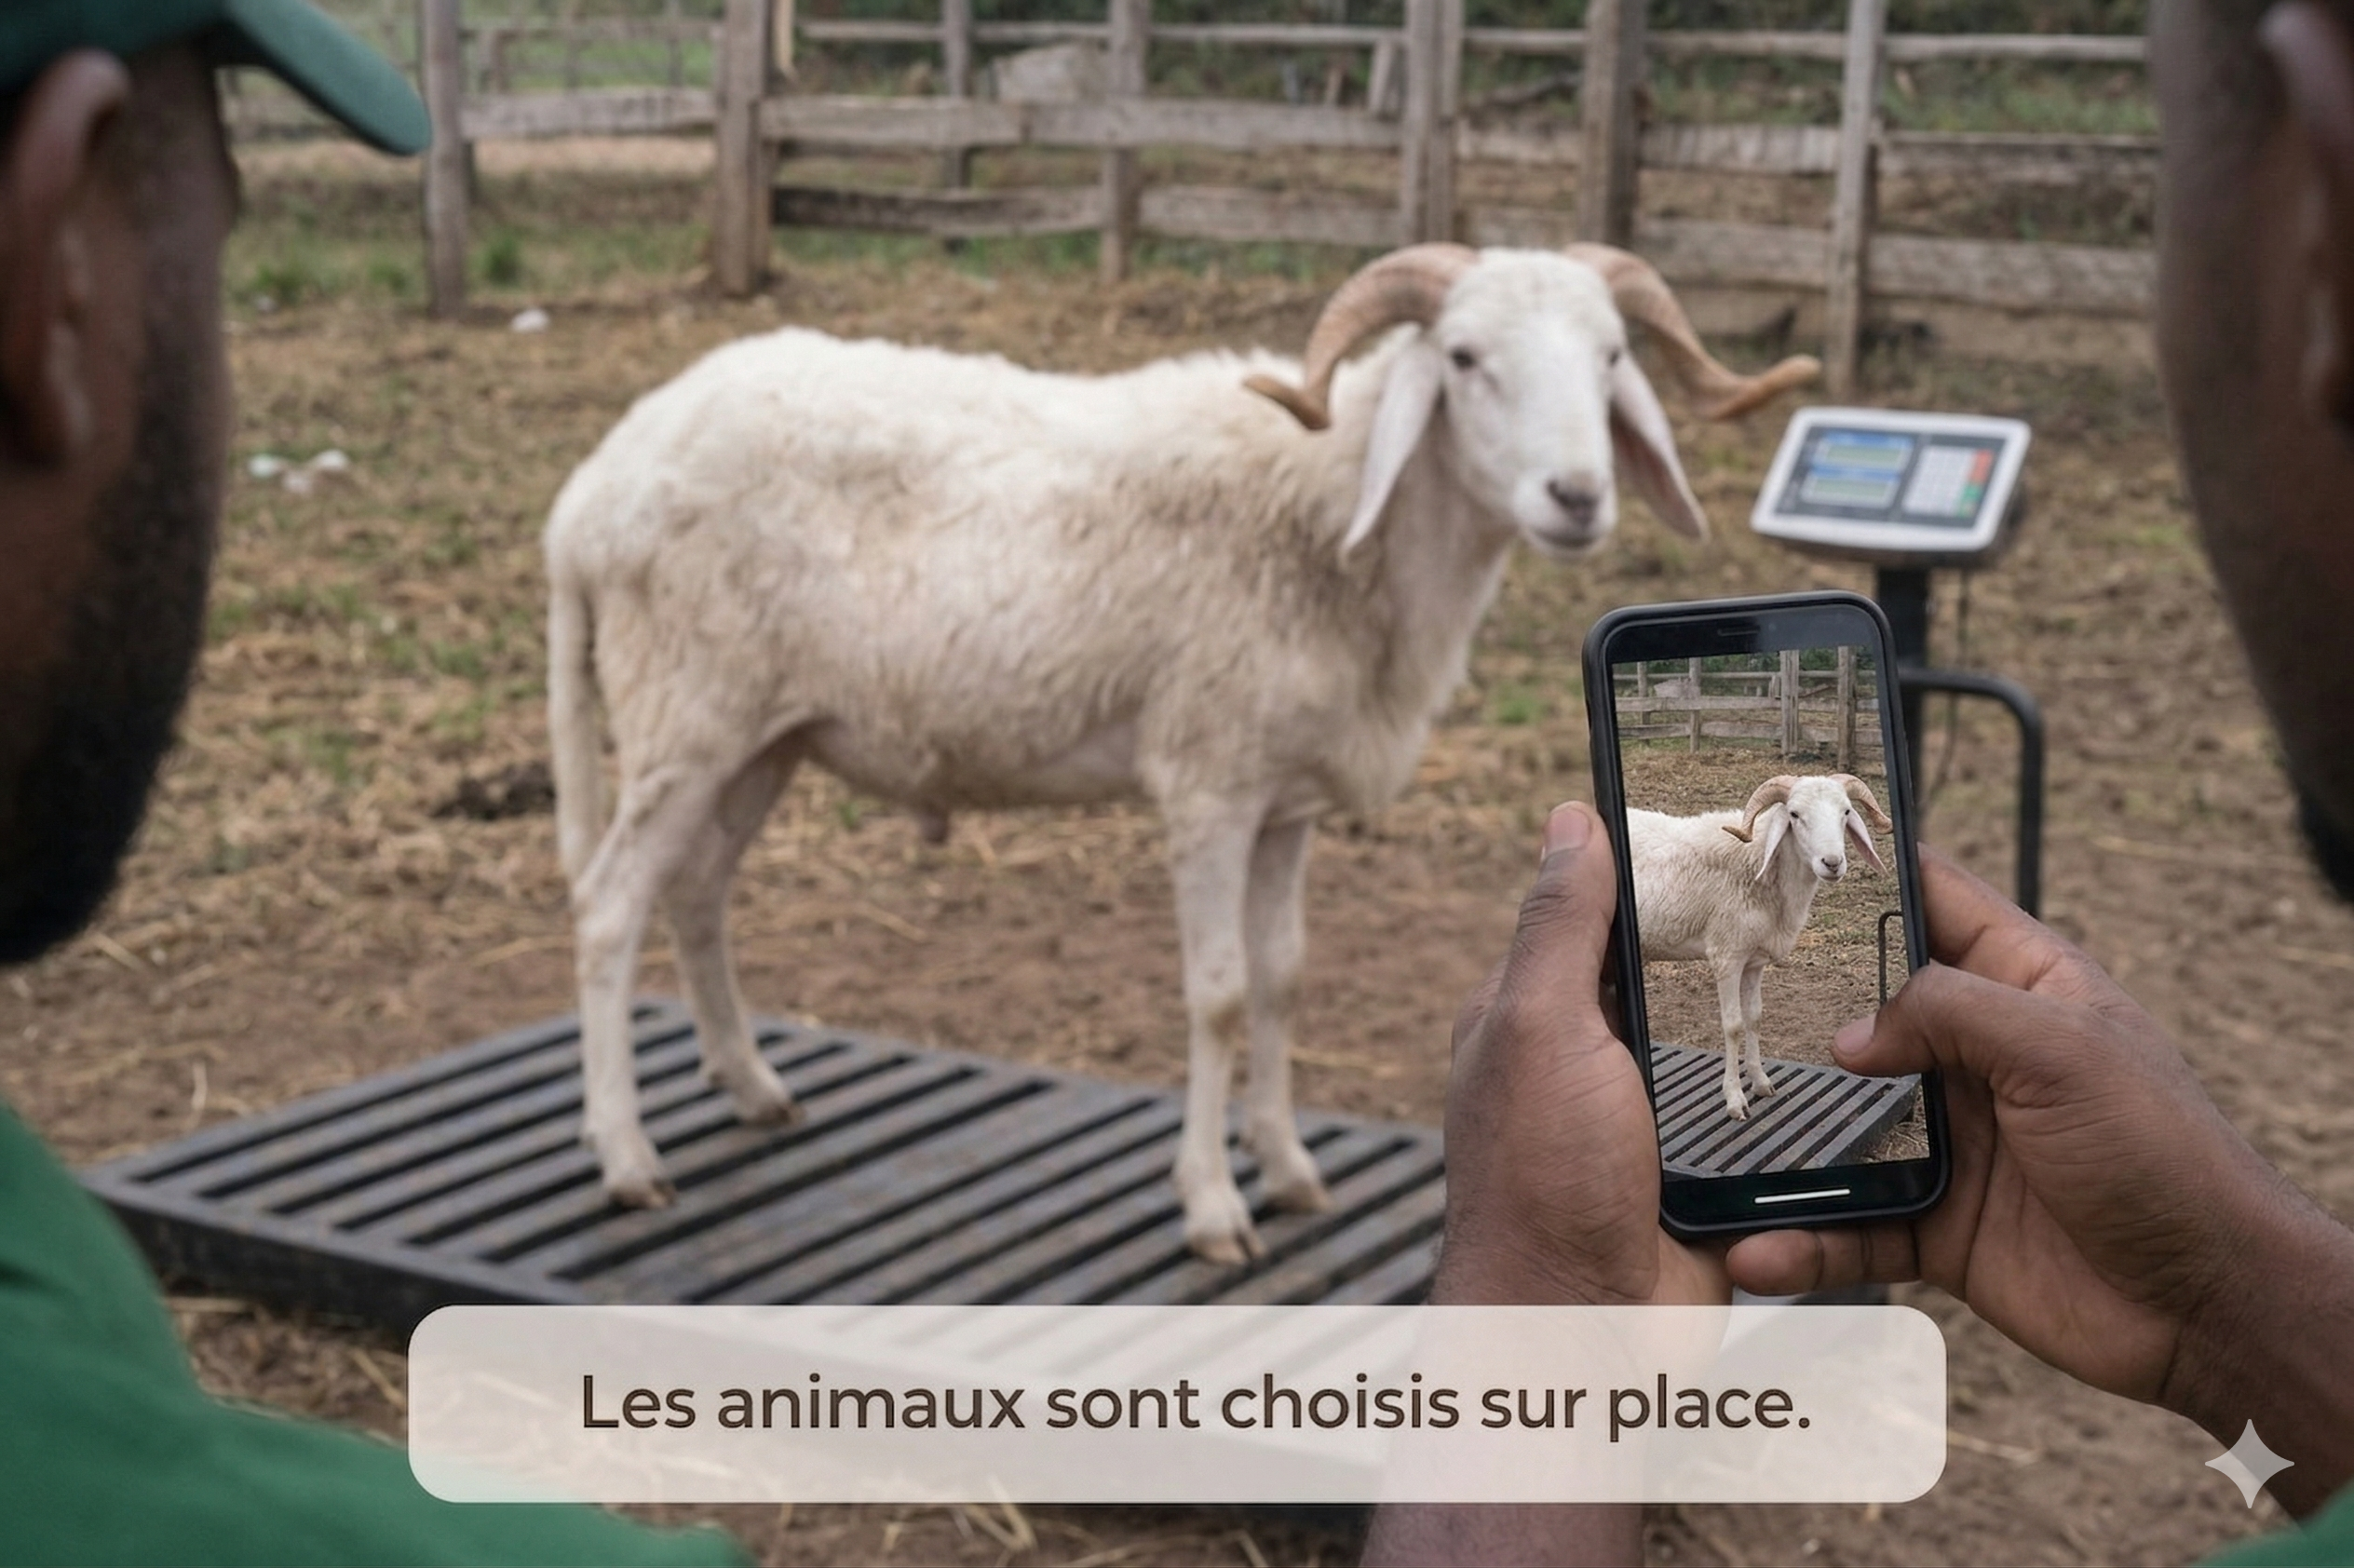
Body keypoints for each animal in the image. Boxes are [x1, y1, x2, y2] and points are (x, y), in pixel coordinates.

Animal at [544, 242, 1818, 1264]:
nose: (1575, 495)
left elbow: (1281, 978)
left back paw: (751, 1086)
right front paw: (1213, 1207)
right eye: (1460, 357)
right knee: (608, 908)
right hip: (685, 711)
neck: (1332, 516)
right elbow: (1215, 996)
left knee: (695, 891)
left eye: (1609, 357)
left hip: (759, 733)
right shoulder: (1208, 782)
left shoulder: (1284, 802)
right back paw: (625, 1156)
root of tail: (590, 489)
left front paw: (1290, 1169)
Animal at [1625, 774, 1893, 1121]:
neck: (1756, 862)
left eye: (1846, 812)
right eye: (1794, 814)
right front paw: (1735, 1099)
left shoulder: (1754, 961)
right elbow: (1733, 1026)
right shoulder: (1726, 955)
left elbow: (1754, 1017)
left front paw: (1761, 1081)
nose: (1832, 863)